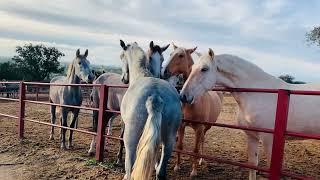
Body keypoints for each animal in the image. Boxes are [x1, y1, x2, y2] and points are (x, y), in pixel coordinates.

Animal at [119, 40, 182, 179]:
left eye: (121, 56)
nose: (123, 79)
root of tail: (155, 95)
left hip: (130, 137)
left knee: (130, 165)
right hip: (169, 139)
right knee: (161, 171)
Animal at [162, 43, 222, 177]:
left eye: (181, 55)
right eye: (170, 53)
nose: (164, 72)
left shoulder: (199, 128)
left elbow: (195, 149)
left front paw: (193, 171)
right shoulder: (181, 125)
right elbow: (180, 146)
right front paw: (177, 166)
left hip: (206, 127)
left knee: (202, 141)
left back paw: (201, 160)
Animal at [179, 48, 320, 179]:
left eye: (204, 69)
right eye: (192, 68)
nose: (183, 96)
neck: (258, 94)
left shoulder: (269, 140)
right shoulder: (252, 136)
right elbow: (253, 164)